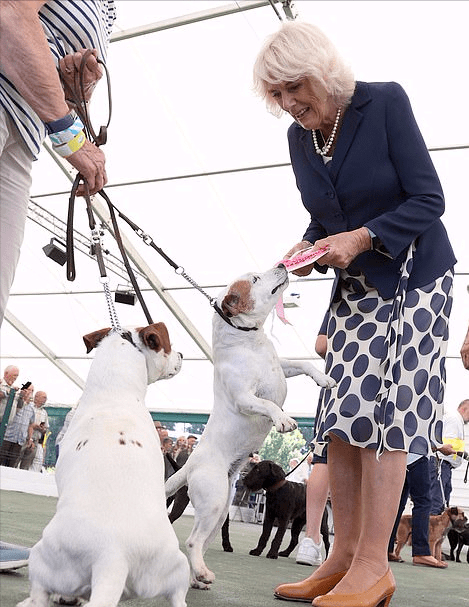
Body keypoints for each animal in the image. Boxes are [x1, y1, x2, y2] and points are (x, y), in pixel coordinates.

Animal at [16, 326, 188, 607]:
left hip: (41, 558)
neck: (114, 393)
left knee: (41, 594)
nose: (182, 355)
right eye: (169, 347)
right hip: (177, 569)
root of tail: (113, 555)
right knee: (177, 598)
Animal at [165, 266, 332, 588]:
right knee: (192, 541)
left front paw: (324, 378)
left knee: (201, 542)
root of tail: (189, 465)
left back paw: (197, 579)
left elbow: (304, 364)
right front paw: (283, 419)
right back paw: (202, 573)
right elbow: (268, 404)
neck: (249, 342)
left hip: (220, 512)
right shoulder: (244, 396)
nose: (282, 264)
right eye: (254, 280)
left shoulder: (283, 368)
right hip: (214, 500)